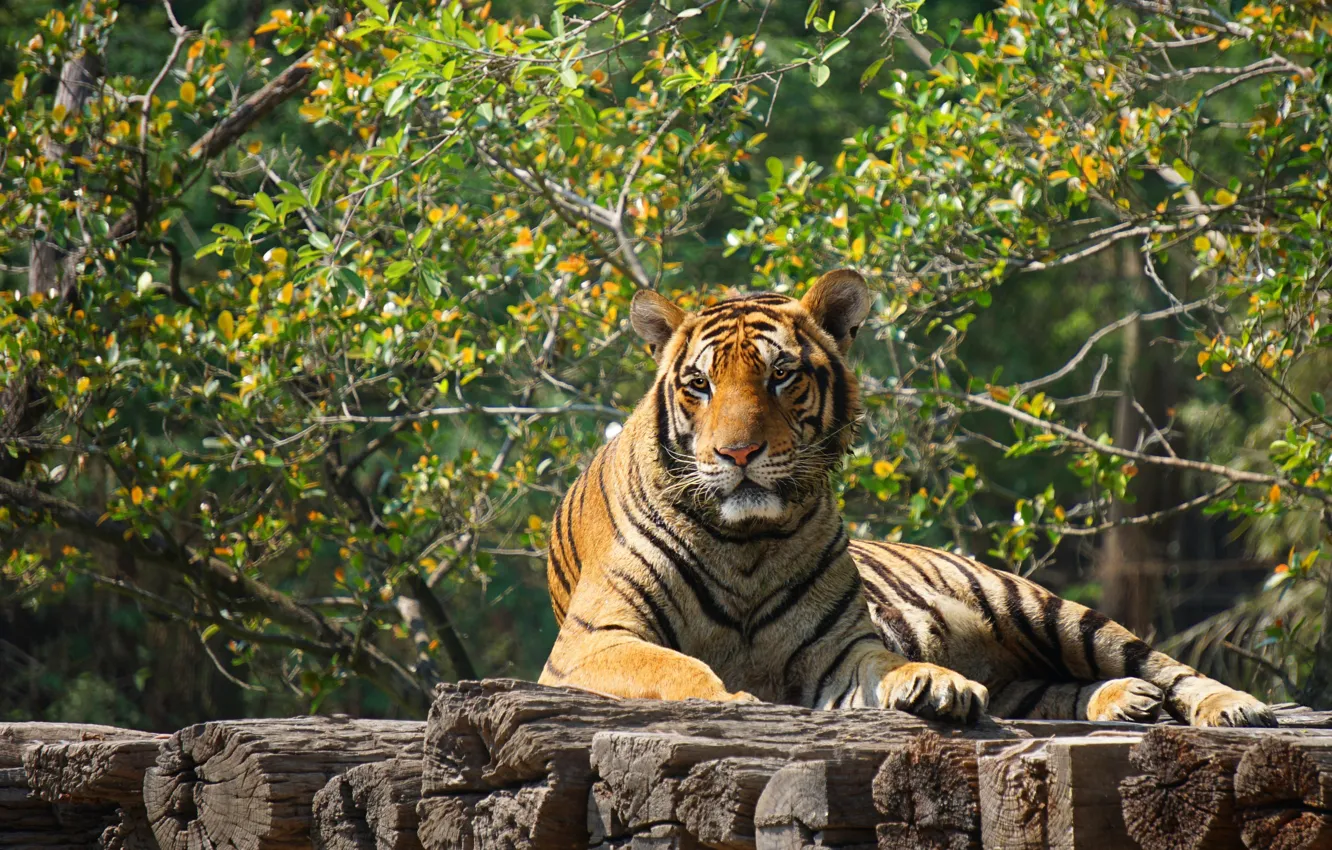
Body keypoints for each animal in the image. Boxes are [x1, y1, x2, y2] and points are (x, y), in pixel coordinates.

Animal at [539, 269, 1275, 727]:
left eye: (781, 375)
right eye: (699, 385)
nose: (737, 454)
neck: (748, 543)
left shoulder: (838, 652)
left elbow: (887, 661)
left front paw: (933, 683)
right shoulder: (591, 645)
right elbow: (682, 669)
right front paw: (735, 703)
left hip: (1042, 609)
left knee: (1160, 663)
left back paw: (1229, 705)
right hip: (1024, 669)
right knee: (1047, 691)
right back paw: (1127, 702)